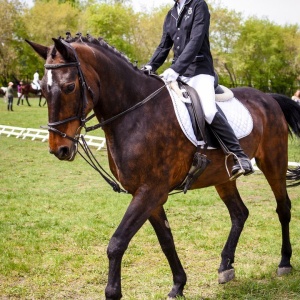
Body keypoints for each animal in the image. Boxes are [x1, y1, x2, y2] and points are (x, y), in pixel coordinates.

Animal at [25, 35, 300, 300]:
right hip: (223, 176)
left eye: (69, 87)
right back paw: (225, 266)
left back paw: (284, 262)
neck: (135, 113)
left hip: (274, 162)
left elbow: (117, 242)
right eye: (44, 90)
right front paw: (178, 285)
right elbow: (166, 240)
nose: (59, 149)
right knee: (239, 213)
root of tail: (268, 97)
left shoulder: (151, 191)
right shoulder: (148, 195)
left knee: (283, 208)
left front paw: (113, 292)